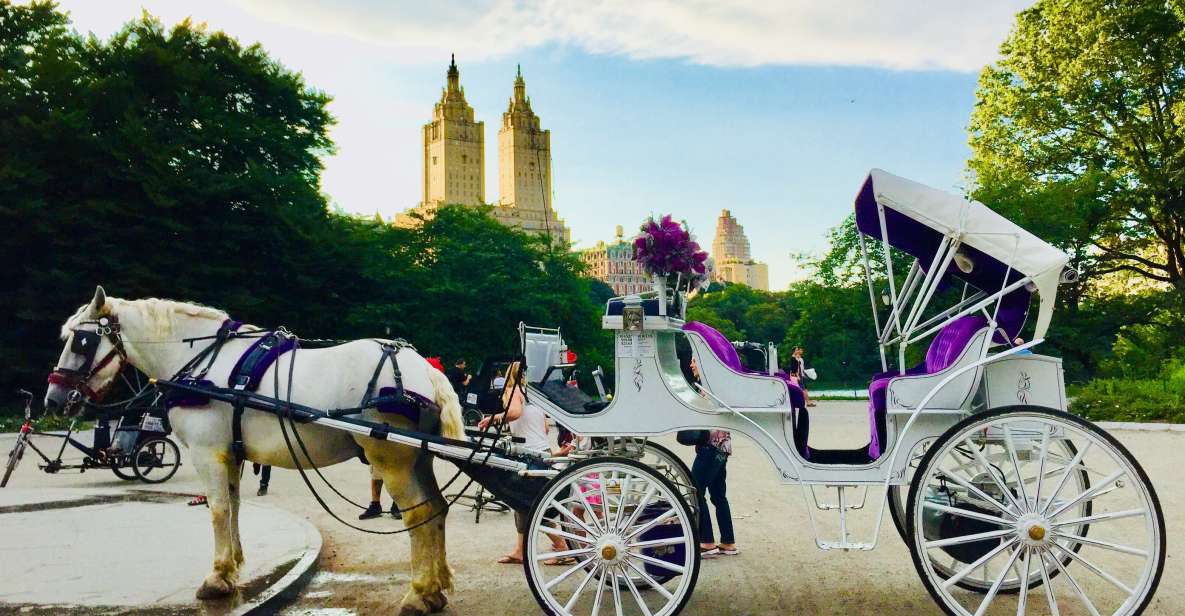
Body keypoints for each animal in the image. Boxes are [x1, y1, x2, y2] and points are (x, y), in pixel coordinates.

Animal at [46, 289, 464, 616]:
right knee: (437, 508)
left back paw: (419, 594)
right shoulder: (231, 454)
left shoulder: (207, 452)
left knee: (419, 514)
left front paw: (216, 577)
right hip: (418, 457)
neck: (204, 361)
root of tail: (425, 369)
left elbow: (217, 509)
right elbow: (233, 506)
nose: (54, 398)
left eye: (80, 342)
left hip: (390, 459)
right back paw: (436, 588)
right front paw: (232, 568)